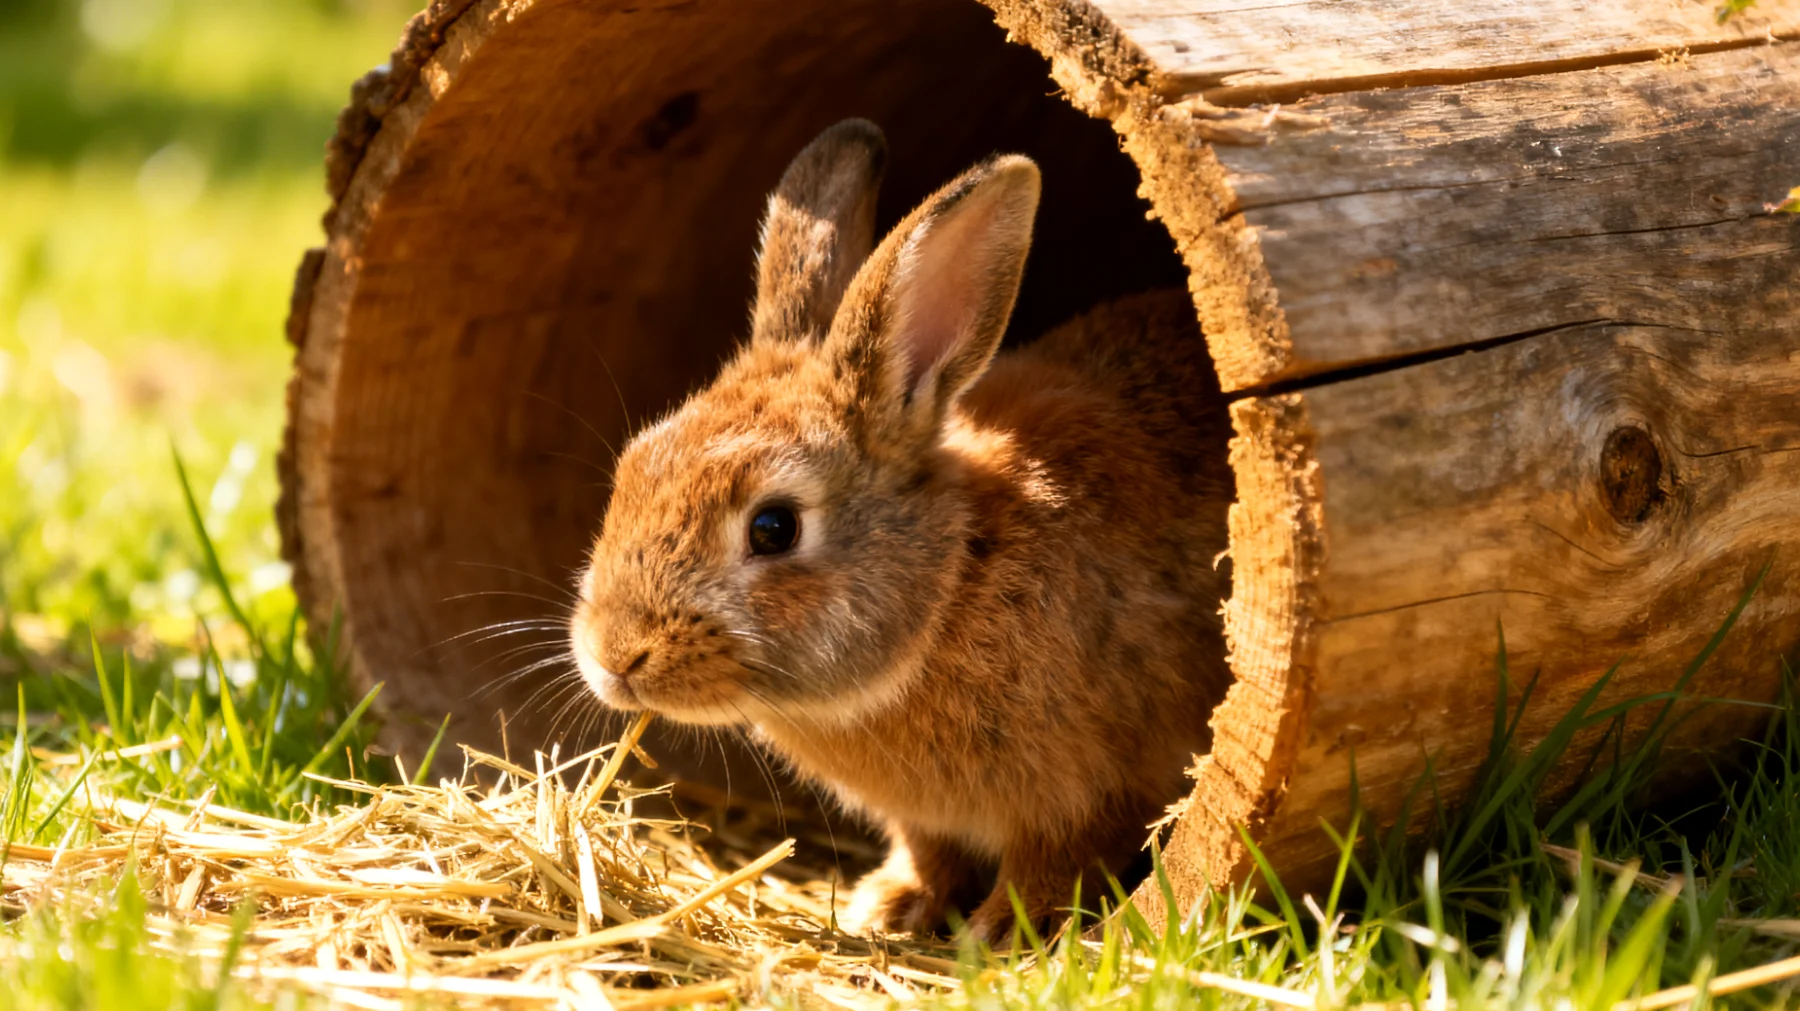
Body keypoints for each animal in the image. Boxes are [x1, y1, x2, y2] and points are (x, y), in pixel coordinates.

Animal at [568, 118, 1233, 942]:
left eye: (774, 527)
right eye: (633, 466)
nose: (614, 656)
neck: (953, 584)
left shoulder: (1094, 790)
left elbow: (1055, 864)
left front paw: (1000, 931)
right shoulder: (928, 820)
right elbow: (928, 851)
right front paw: (888, 905)